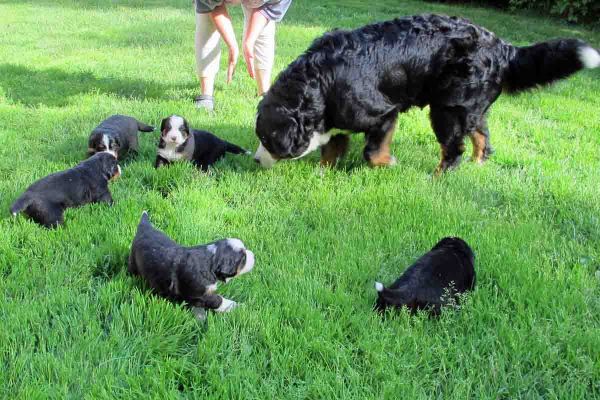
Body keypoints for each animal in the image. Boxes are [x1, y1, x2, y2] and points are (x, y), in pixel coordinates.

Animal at [254, 13, 600, 173]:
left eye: (268, 141)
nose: (255, 160)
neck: (320, 83)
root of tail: (503, 47)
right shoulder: (338, 118)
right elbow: (333, 147)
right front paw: (323, 172)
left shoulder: (383, 112)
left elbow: (372, 152)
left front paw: (389, 163)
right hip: (468, 107)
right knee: (481, 136)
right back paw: (478, 163)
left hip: (447, 110)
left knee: (453, 148)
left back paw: (437, 177)